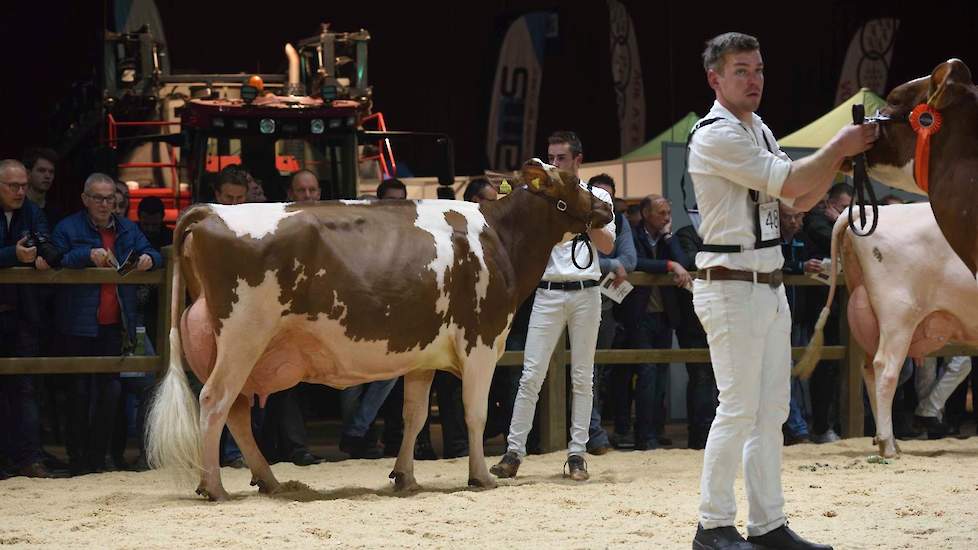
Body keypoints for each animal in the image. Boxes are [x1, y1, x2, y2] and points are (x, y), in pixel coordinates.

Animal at [145, 160, 608, 500]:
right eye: (571, 179)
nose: (607, 206)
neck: (499, 239)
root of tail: (211, 210)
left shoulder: (424, 355)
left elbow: (414, 416)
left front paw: (405, 477)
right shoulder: (480, 342)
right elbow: (475, 413)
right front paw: (481, 475)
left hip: (240, 347)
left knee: (237, 412)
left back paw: (271, 481)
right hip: (243, 336)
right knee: (215, 402)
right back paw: (215, 486)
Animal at [792, 205, 976, 460]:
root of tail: (870, 210)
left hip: (871, 318)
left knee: (870, 369)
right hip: (898, 315)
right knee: (886, 369)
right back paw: (888, 444)